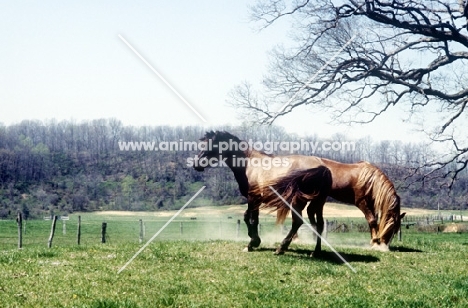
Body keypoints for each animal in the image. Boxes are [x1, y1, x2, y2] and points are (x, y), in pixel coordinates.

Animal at [192, 131, 404, 254]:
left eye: (210, 145)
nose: (196, 164)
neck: (250, 163)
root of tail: (322, 167)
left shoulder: (253, 199)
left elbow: (251, 219)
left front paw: (253, 243)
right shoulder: (256, 200)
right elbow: (248, 218)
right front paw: (254, 241)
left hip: (298, 202)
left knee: (298, 222)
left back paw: (282, 248)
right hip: (317, 203)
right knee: (318, 224)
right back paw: (315, 251)